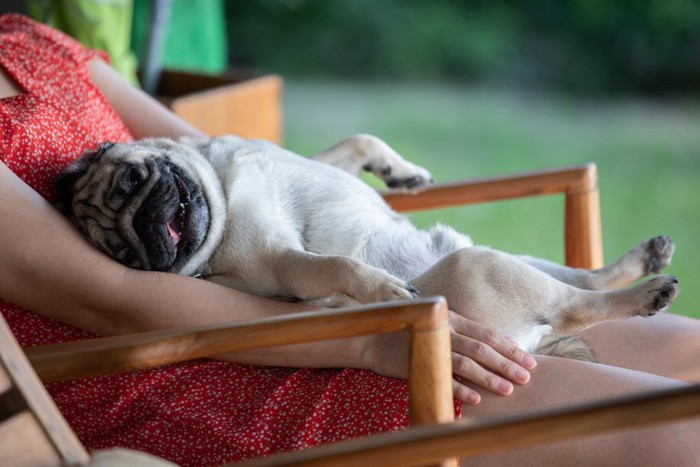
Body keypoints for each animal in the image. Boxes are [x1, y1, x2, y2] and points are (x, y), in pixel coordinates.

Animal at [54, 133, 680, 360]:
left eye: (134, 181)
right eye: (127, 260)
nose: (145, 228)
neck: (222, 185)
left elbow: (357, 143)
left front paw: (401, 173)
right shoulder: (280, 262)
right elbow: (333, 264)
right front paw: (381, 287)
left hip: (513, 260)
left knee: (583, 278)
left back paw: (643, 260)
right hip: (480, 265)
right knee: (575, 305)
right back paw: (648, 292)